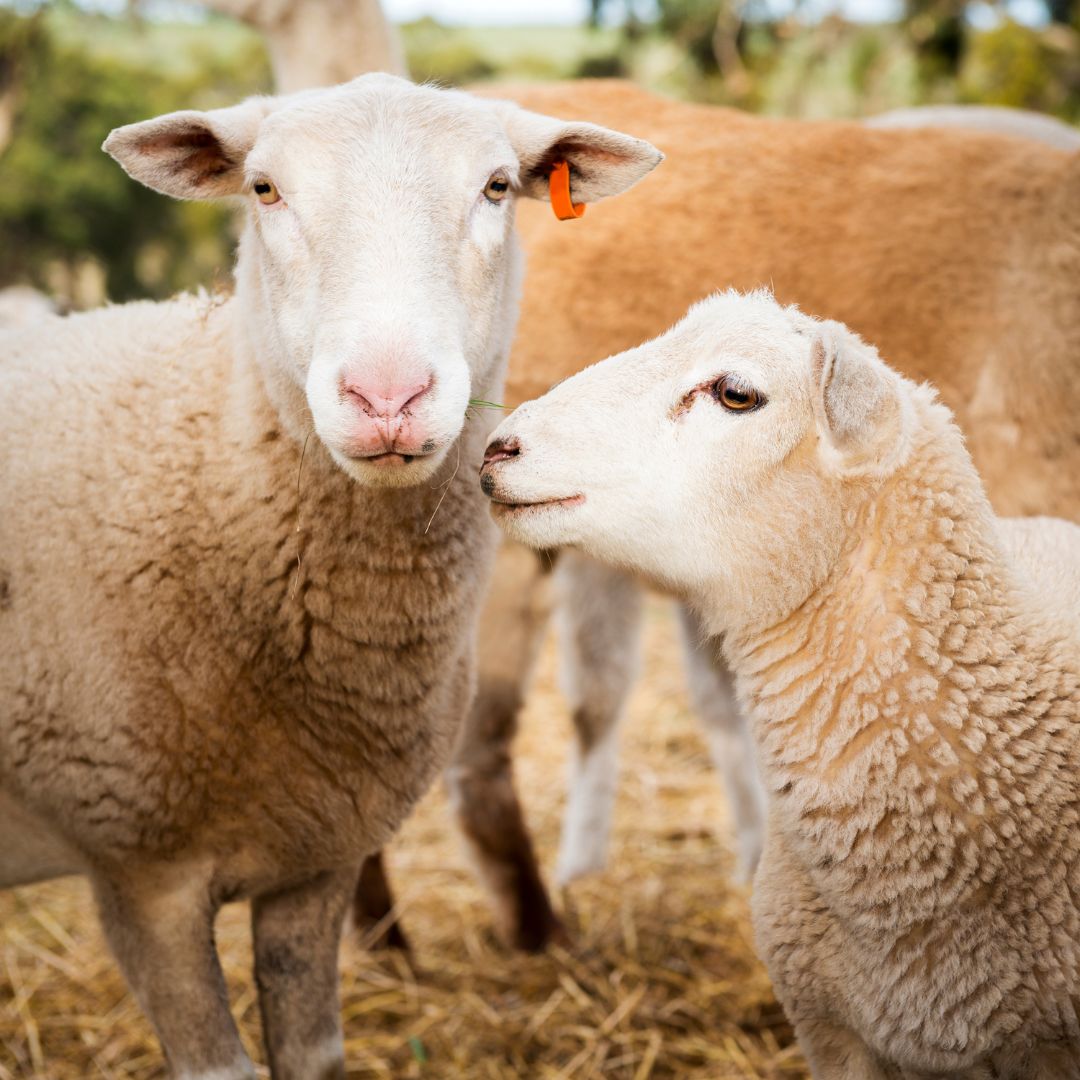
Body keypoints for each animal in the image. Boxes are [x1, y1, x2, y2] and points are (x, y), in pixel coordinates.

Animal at [0, 71, 656, 1075]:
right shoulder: (143, 877)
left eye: (498, 187)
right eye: (264, 189)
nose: (388, 398)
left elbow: (312, 1053)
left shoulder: (319, 860)